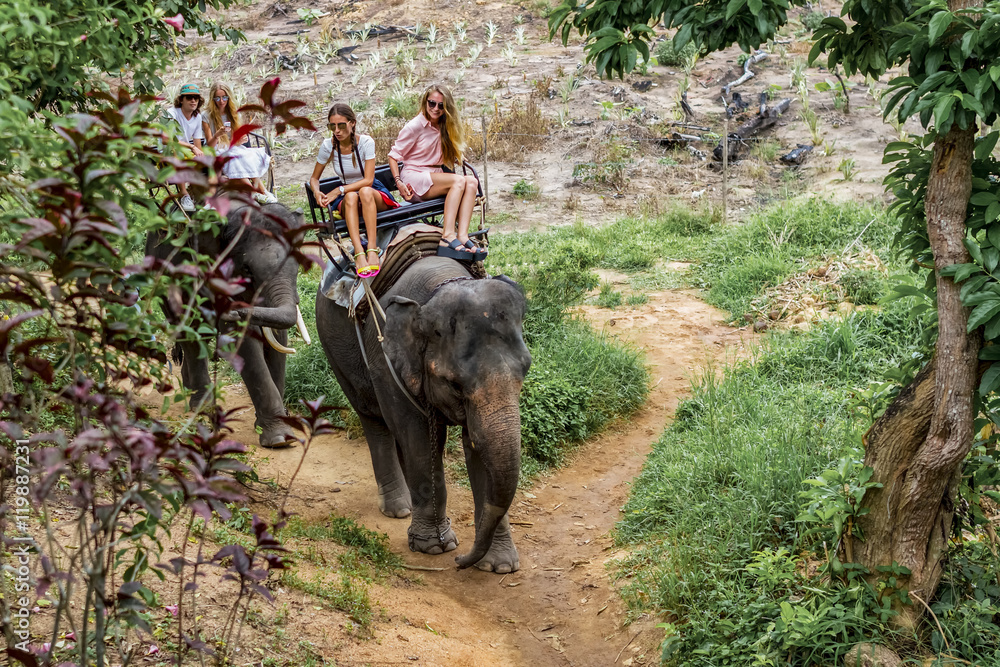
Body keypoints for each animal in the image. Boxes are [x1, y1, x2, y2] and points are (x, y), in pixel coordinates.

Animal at [146, 202, 309, 447]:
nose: (237, 311)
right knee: (190, 335)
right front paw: (280, 439)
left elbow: (277, 339)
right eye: (247, 269)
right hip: (165, 282)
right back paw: (202, 406)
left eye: (297, 263)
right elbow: (243, 342)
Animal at [316, 256, 531, 572]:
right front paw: (433, 547)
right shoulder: (386, 359)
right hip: (334, 348)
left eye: (525, 370)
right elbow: (416, 436)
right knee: (373, 418)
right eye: (455, 384)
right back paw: (399, 509)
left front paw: (500, 566)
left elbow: (477, 449)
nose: (459, 561)